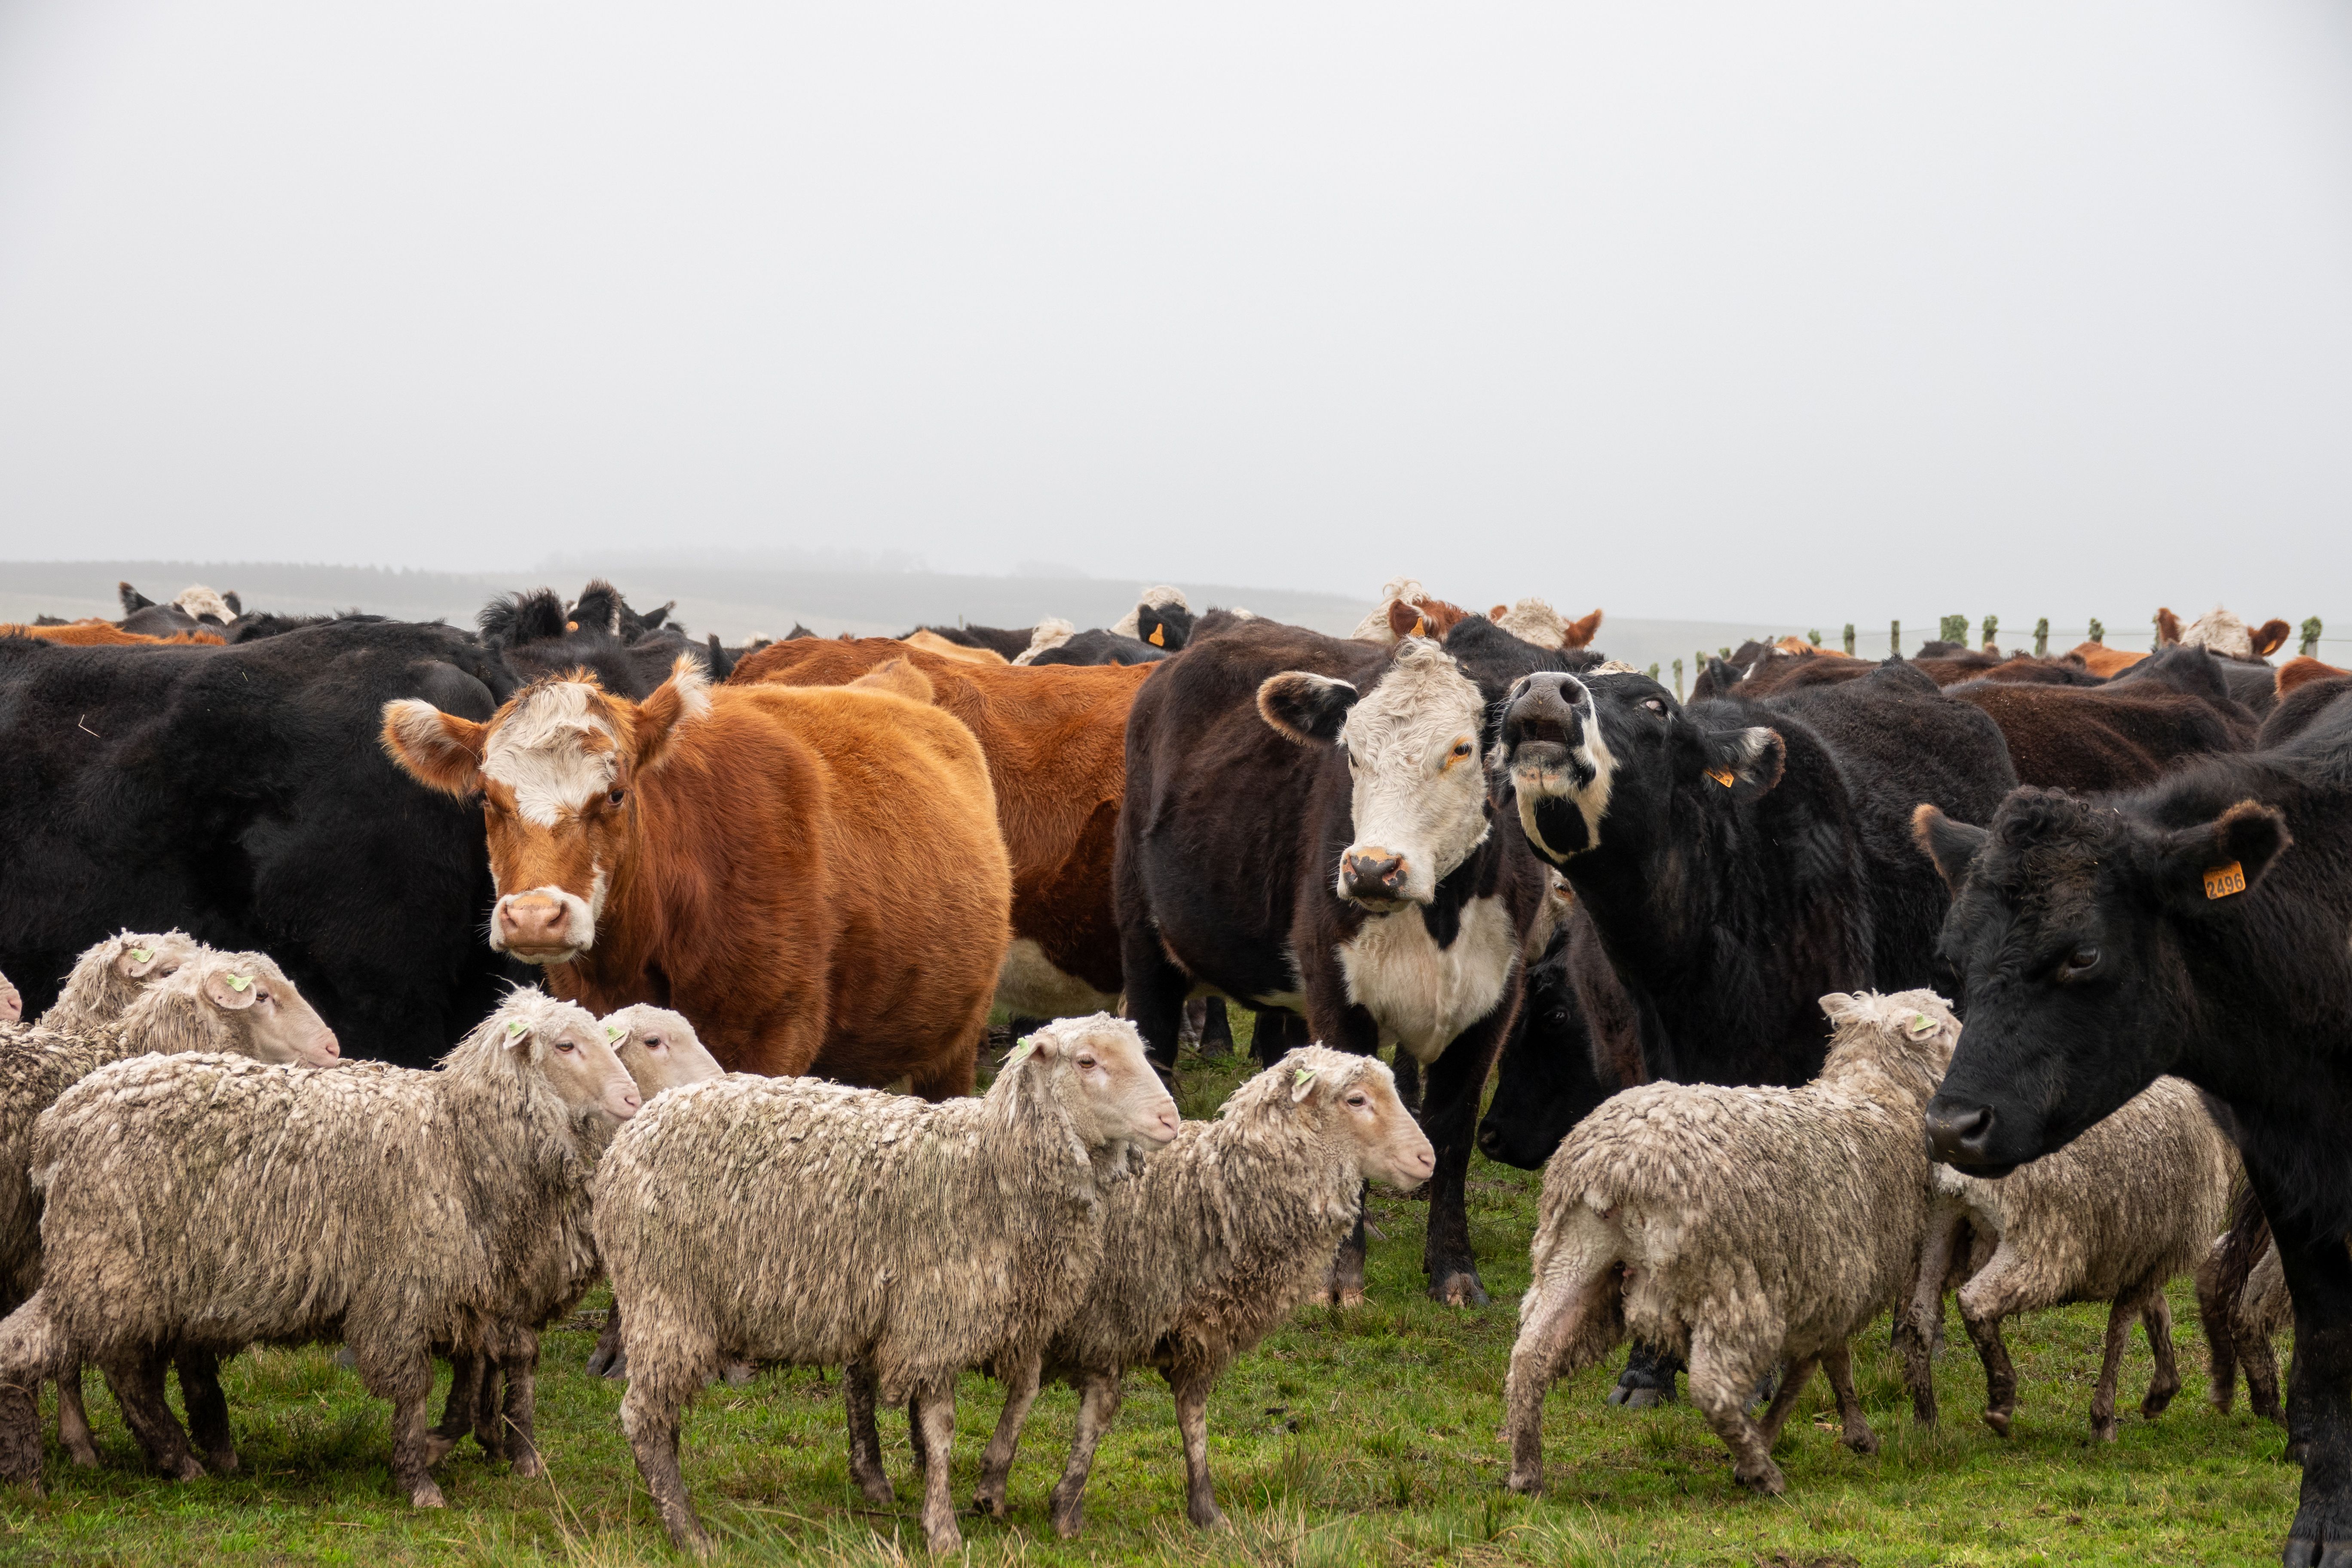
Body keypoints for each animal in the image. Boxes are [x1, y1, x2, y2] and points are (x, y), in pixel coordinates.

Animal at [594, 1011, 1180, 1555]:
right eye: (1087, 1062)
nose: (1170, 1119)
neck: (990, 1167)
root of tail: (628, 1138)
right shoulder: (933, 1320)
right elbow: (941, 1430)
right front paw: (942, 1530)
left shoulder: (1008, 1313)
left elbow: (1022, 1393)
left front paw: (984, 1487)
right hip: (664, 1296)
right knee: (642, 1416)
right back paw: (687, 1531)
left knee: (662, 1412)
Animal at [971, 1046, 1436, 1537]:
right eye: (1356, 1099)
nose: (1428, 1160)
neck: (1210, 1194)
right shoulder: (1107, 1320)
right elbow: (1092, 1411)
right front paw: (1064, 1507)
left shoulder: (1201, 1336)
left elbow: (1192, 1417)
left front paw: (1207, 1511)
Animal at [1116, 619, 1566, 1306]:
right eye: (1352, 753)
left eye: (1462, 749)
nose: (1373, 869)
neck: (1438, 920)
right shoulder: (1337, 992)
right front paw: (1340, 1279)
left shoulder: (1495, 1003)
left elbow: (1452, 1133)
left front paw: (1453, 1270)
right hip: (1147, 946)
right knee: (1158, 1060)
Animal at [1503, 990, 1957, 1498]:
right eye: (1948, 1028)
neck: (1876, 1097)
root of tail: (1618, 1167)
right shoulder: (1833, 1280)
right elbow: (1816, 1369)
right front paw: (1827, 1433)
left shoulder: (1829, 1282)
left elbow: (1829, 1361)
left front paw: (1852, 1432)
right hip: (1726, 1280)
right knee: (1711, 1387)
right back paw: (1760, 1469)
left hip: (1572, 1257)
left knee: (1530, 1356)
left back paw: (1526, 1473)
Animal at [1910, 1076, 2234, 1441]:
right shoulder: (2154, 1249)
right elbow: (2120, 1330)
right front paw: (2104, 1420)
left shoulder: (2144, 1250)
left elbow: (2156, 1314)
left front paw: (2161, 1391)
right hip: (2042, 1241)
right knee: (1975, 1301)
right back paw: (2001, 1401)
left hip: (1939, 1221)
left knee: (1921, 1315)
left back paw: (1926, 1418)